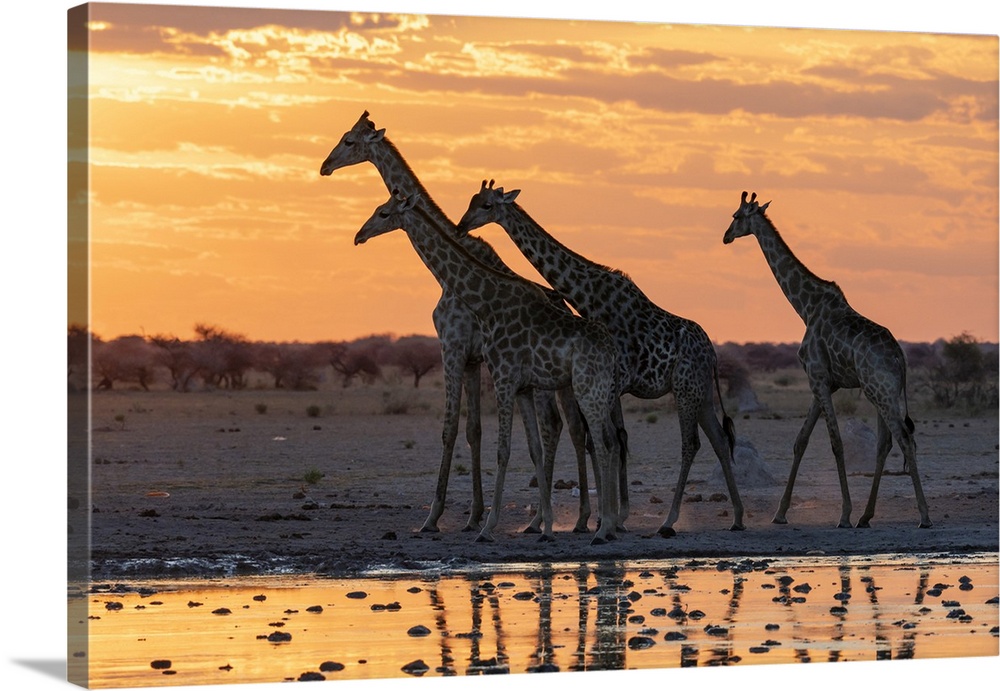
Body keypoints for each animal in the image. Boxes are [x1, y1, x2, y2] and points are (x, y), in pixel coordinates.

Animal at [320, 112, 594, 534]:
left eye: (349, 141)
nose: (325, 166)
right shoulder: (472, 359)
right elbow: (473, 431)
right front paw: (473, 515)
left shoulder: (453, 346)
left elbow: (450, 429)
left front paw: (434, 516)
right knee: (575, 428)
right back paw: (567, 519)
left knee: (559, 426)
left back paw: (559, 520)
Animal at [356, 190, 625, 544]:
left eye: (384, 213)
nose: (359, 235)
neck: (488, 303)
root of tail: (611, 349)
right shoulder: (521, 385)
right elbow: (534, 449)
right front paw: (545, 527)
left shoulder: (499, 376)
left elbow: (503, 450)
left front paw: (485, 526)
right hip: (595, 391)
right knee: (604, 438)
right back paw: (603, 524)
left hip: (586, 389)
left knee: (602, 441)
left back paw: (605, 528)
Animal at [457, 180, 744, 537]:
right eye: (471, 201)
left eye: (486, 206)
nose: (461, 225)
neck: (588, 295)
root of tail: (713, 355)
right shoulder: (611, 383)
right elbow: (613, 439)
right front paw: (610, 517)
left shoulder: (614, 380)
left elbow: (610, 439)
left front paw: (612, 518)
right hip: (701, 393)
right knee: (719, 439)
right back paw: (737, 517)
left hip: (684, 389)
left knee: (691, 444)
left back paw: (669, 521)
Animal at [723, 191, 931, 529]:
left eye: (737, 216)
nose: (726, 236)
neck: (805, 307)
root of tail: (901, 359)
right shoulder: (823, 383)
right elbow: (800, 441)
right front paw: (780, 513)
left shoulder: (818, 377)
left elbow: (836, 443)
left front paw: (843, 514)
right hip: (882, 393)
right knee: (885, 444)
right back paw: (866, 516)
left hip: (881, 393)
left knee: (904, 440)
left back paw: (923, 516)